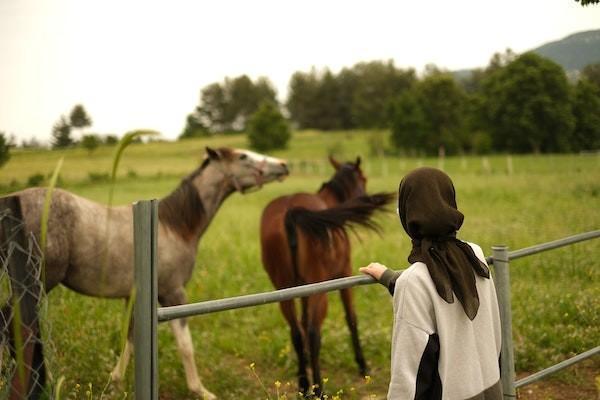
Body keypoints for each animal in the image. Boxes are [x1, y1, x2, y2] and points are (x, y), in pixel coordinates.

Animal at [1, 147, 288, 400]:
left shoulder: (134, 298)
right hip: (39, 282)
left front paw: (115, 384)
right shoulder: (173, 294)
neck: (173, 226)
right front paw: (200, 390)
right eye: (243, 156)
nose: (283, 165)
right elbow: (185, 345)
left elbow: (130, 339)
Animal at [258, 156, 394, 396]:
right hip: (318, 289)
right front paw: (363, 365)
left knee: (297, 332)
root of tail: (290, 213)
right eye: (364, 179)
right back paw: (318, 389)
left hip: (284, 290)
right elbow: (351, 318)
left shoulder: (301, 289)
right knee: (313, 333)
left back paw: (304, 385)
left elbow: (302, 325)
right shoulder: (344, 275)